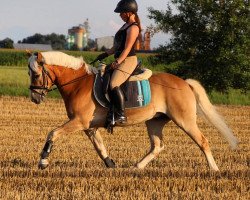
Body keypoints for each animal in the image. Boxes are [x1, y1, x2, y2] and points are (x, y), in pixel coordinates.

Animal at [27, 51, 238, 170]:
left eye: (36, 74)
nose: (35, 98)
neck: (78, 84)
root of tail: (184, 83)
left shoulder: (79, 122)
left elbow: (53, 133)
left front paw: (43, 162)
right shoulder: (89, 127)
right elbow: (99, 146)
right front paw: (111, 165)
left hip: (184, 120)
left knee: (202, 141)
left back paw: (214, 169)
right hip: (154, 121)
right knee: (157, 146)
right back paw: (137, 166)